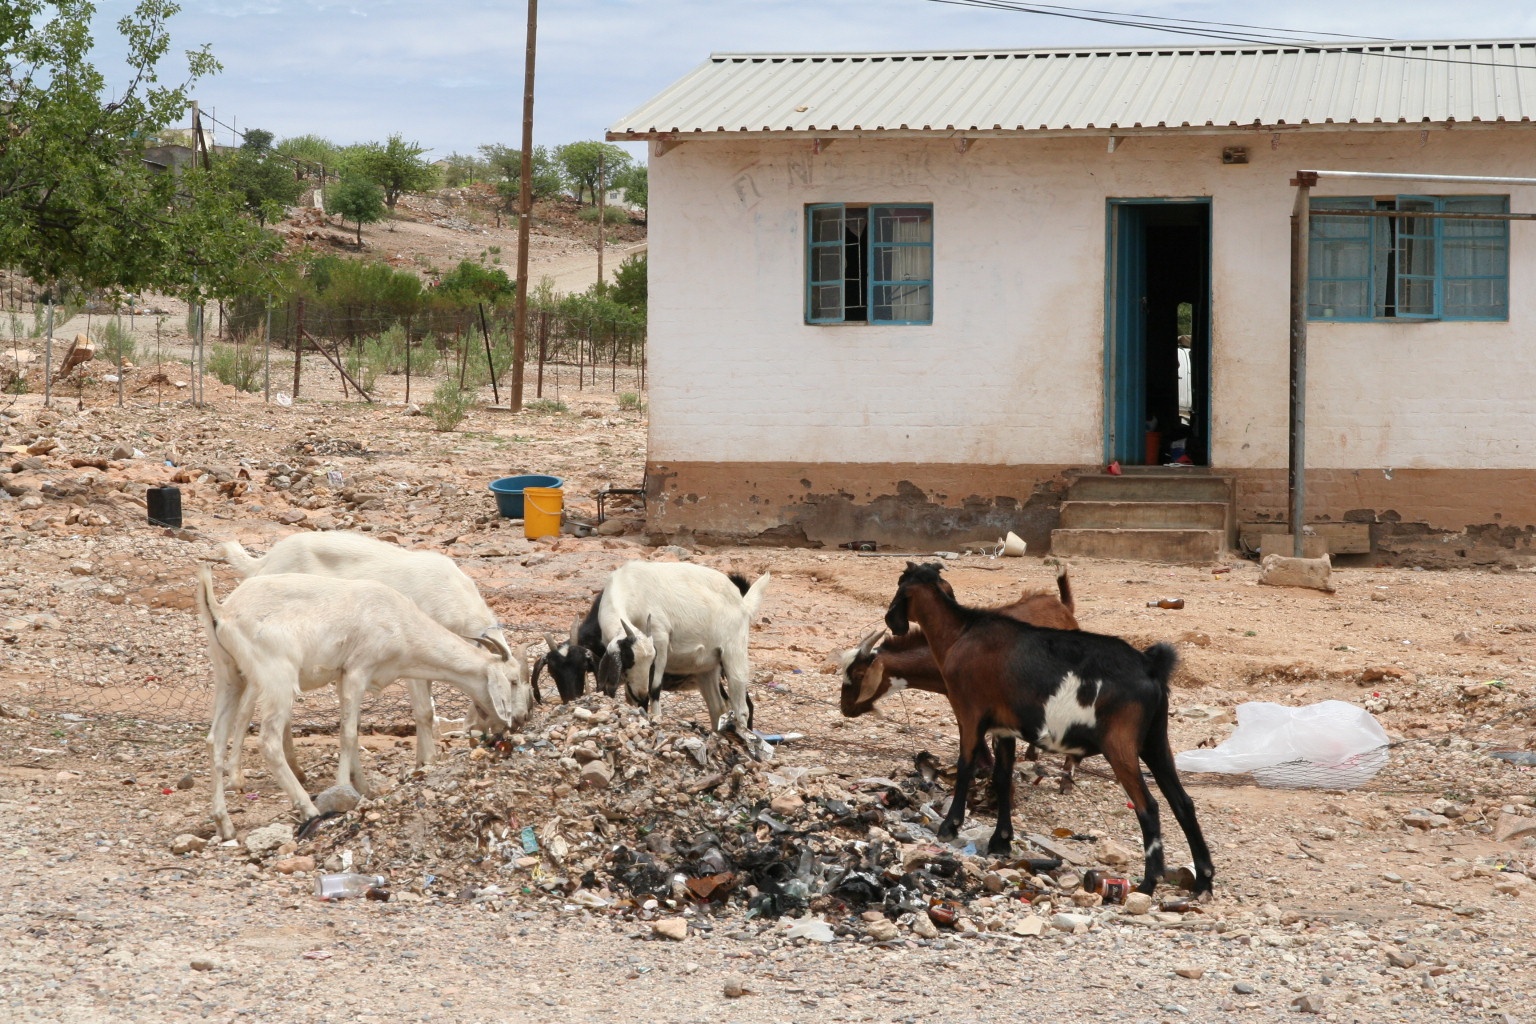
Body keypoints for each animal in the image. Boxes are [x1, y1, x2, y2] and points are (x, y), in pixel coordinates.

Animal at [195, 568, 531, 841]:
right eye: (513, 681)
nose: (520, 719)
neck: (399, 621)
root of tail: (223, 610)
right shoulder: (358, 670)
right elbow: (348, 734)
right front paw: (344, 788)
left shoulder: (343, 678)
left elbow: (352, 729)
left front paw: (365, 788)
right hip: (277, 679)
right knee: (268, 742)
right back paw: (308, 809)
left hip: (229, 677)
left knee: (215, 740)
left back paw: (224, 824)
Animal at [222, 528, 519, 776]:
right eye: (513, 682)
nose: (513, 726)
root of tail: (263, 562)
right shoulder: (414, 656)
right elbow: (425, 711)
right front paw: (427, 761)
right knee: (250, 707)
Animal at [592, 561, 774, 761]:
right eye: (628, 658)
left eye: (651, 659)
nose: (641, 694)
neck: (630, 585)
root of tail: (744, 604)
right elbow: (630, 695)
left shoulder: (660, 638)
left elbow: (655, 688)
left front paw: (656, 720)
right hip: (707, 668)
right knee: (717, 707)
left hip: (735, 652)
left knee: (741, 708)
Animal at [884, 561, 1216, 896]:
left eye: (900, 586)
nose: (889, 620)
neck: (961, 633)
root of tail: (1151, 666)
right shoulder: (1004, 728)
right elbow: (1002, 777)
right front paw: (1001, 841)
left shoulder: (969, 713)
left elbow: (966, 767)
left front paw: (949, 827)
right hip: (1154, 739)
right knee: (1182, 802)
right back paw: (1203, 879)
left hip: (1119, 743)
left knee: (1148, 806)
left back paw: (1149, 883)